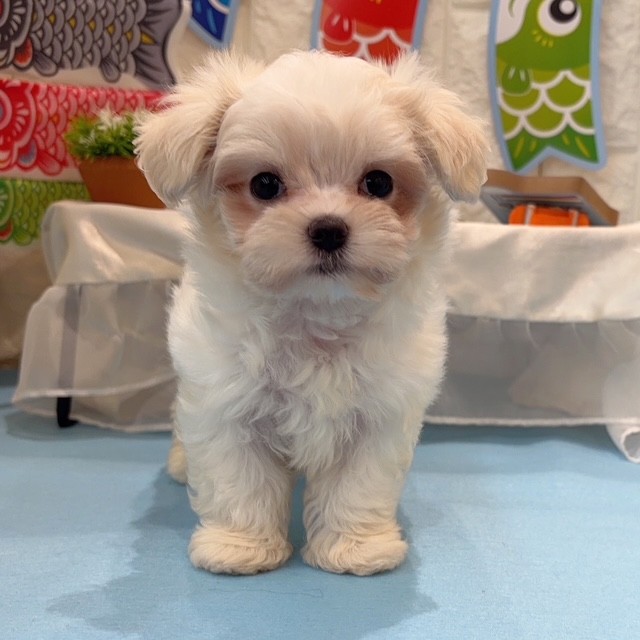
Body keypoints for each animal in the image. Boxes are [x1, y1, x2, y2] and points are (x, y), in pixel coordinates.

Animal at [136, 50, 488, 576]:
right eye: (265, 184)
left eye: (379, 182)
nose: (328, 229)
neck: (316, 315)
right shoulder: (229, 406)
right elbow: (239, 481)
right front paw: (239, 546)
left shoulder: (378, 415)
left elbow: (358, 486)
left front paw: (355, 548)